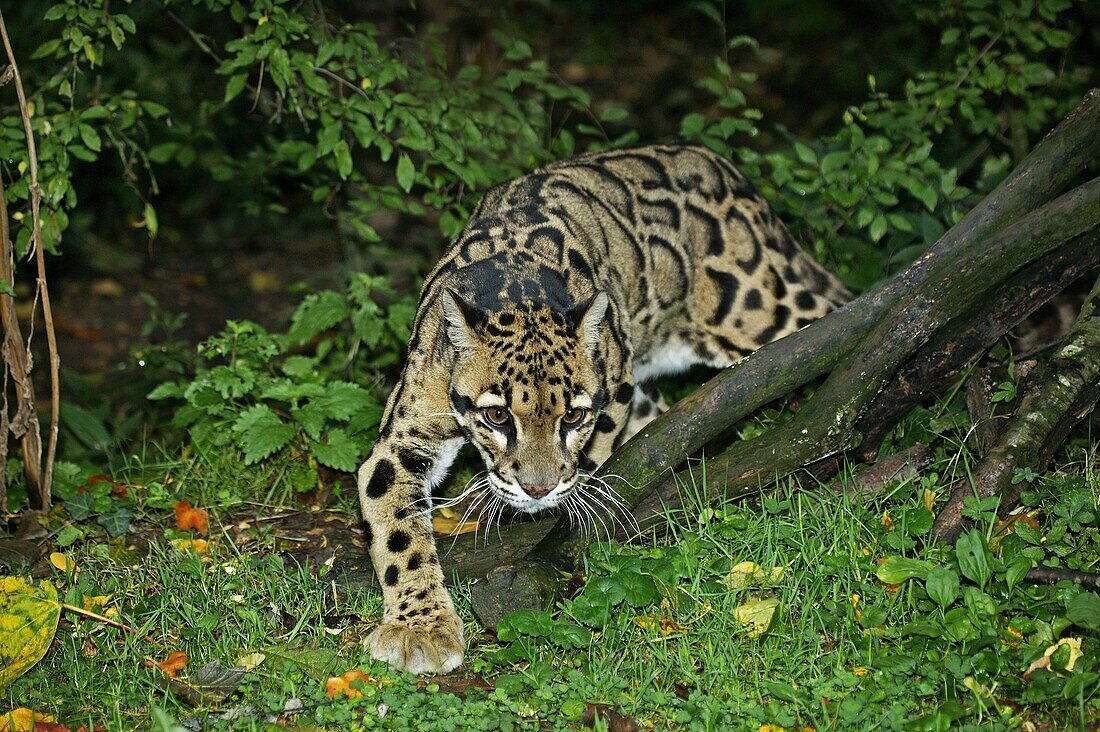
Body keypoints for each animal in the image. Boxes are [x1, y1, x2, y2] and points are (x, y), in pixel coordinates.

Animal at [356, 139, 844, 669]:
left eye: (572, 415)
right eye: (497, 415)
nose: (537, 489)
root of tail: (724, 167)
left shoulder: (617, 390)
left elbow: (592, 460)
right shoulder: (407, 432)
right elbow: (398, 529)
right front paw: (420, 627)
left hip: (760, 310)